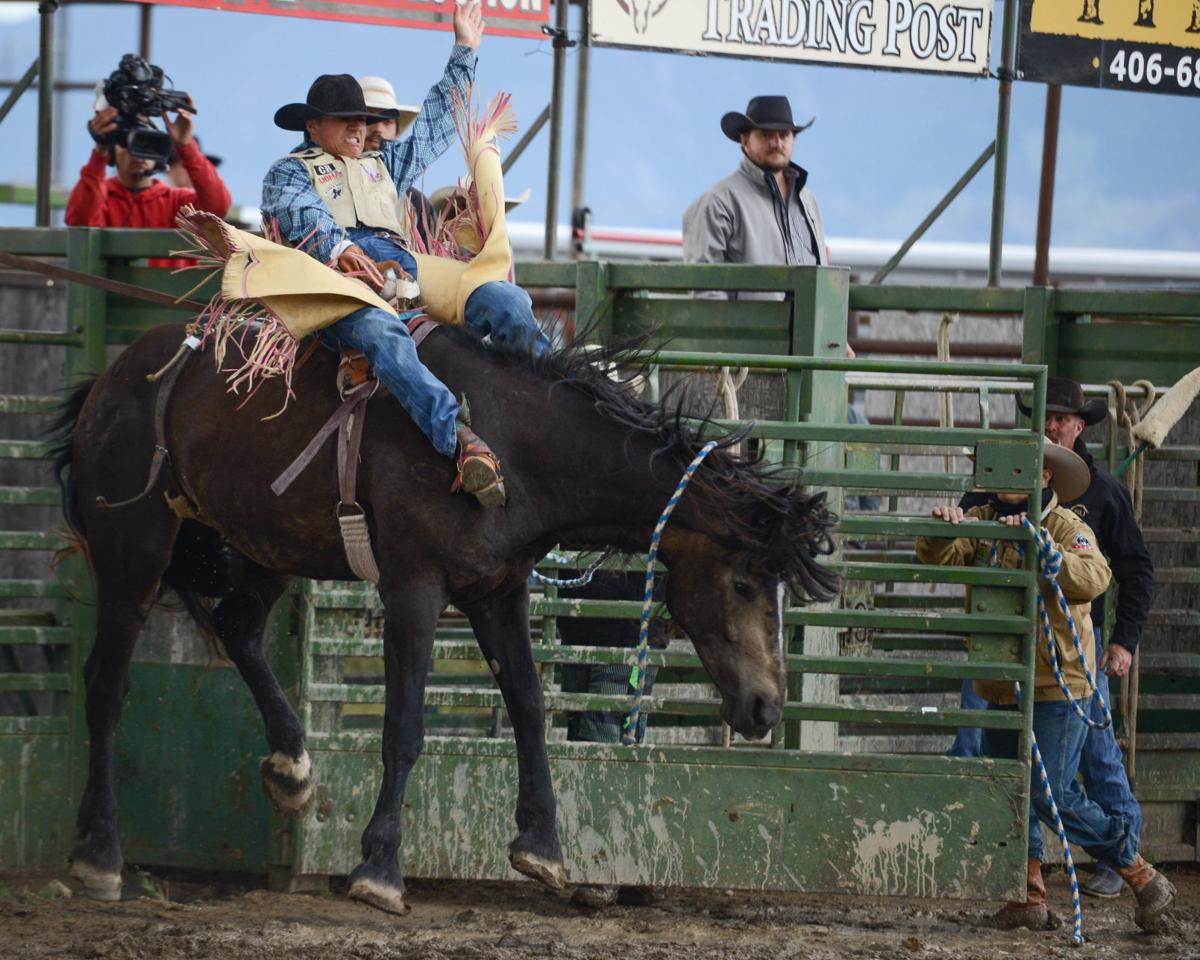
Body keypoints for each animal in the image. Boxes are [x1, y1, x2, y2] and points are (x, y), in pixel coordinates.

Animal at [51, 319, 840, 912]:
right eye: (744, 581)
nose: (768, 707)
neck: (509, 441)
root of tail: (111, 379)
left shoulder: (496, 591)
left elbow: (528, 705)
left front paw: (542, 850)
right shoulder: (415, 586)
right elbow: (403, 729)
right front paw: (379, 870)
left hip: (265, 543)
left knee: (239, 626)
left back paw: (292, 770)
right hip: (133, 550)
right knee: (106, 685)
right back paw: (98, 855)